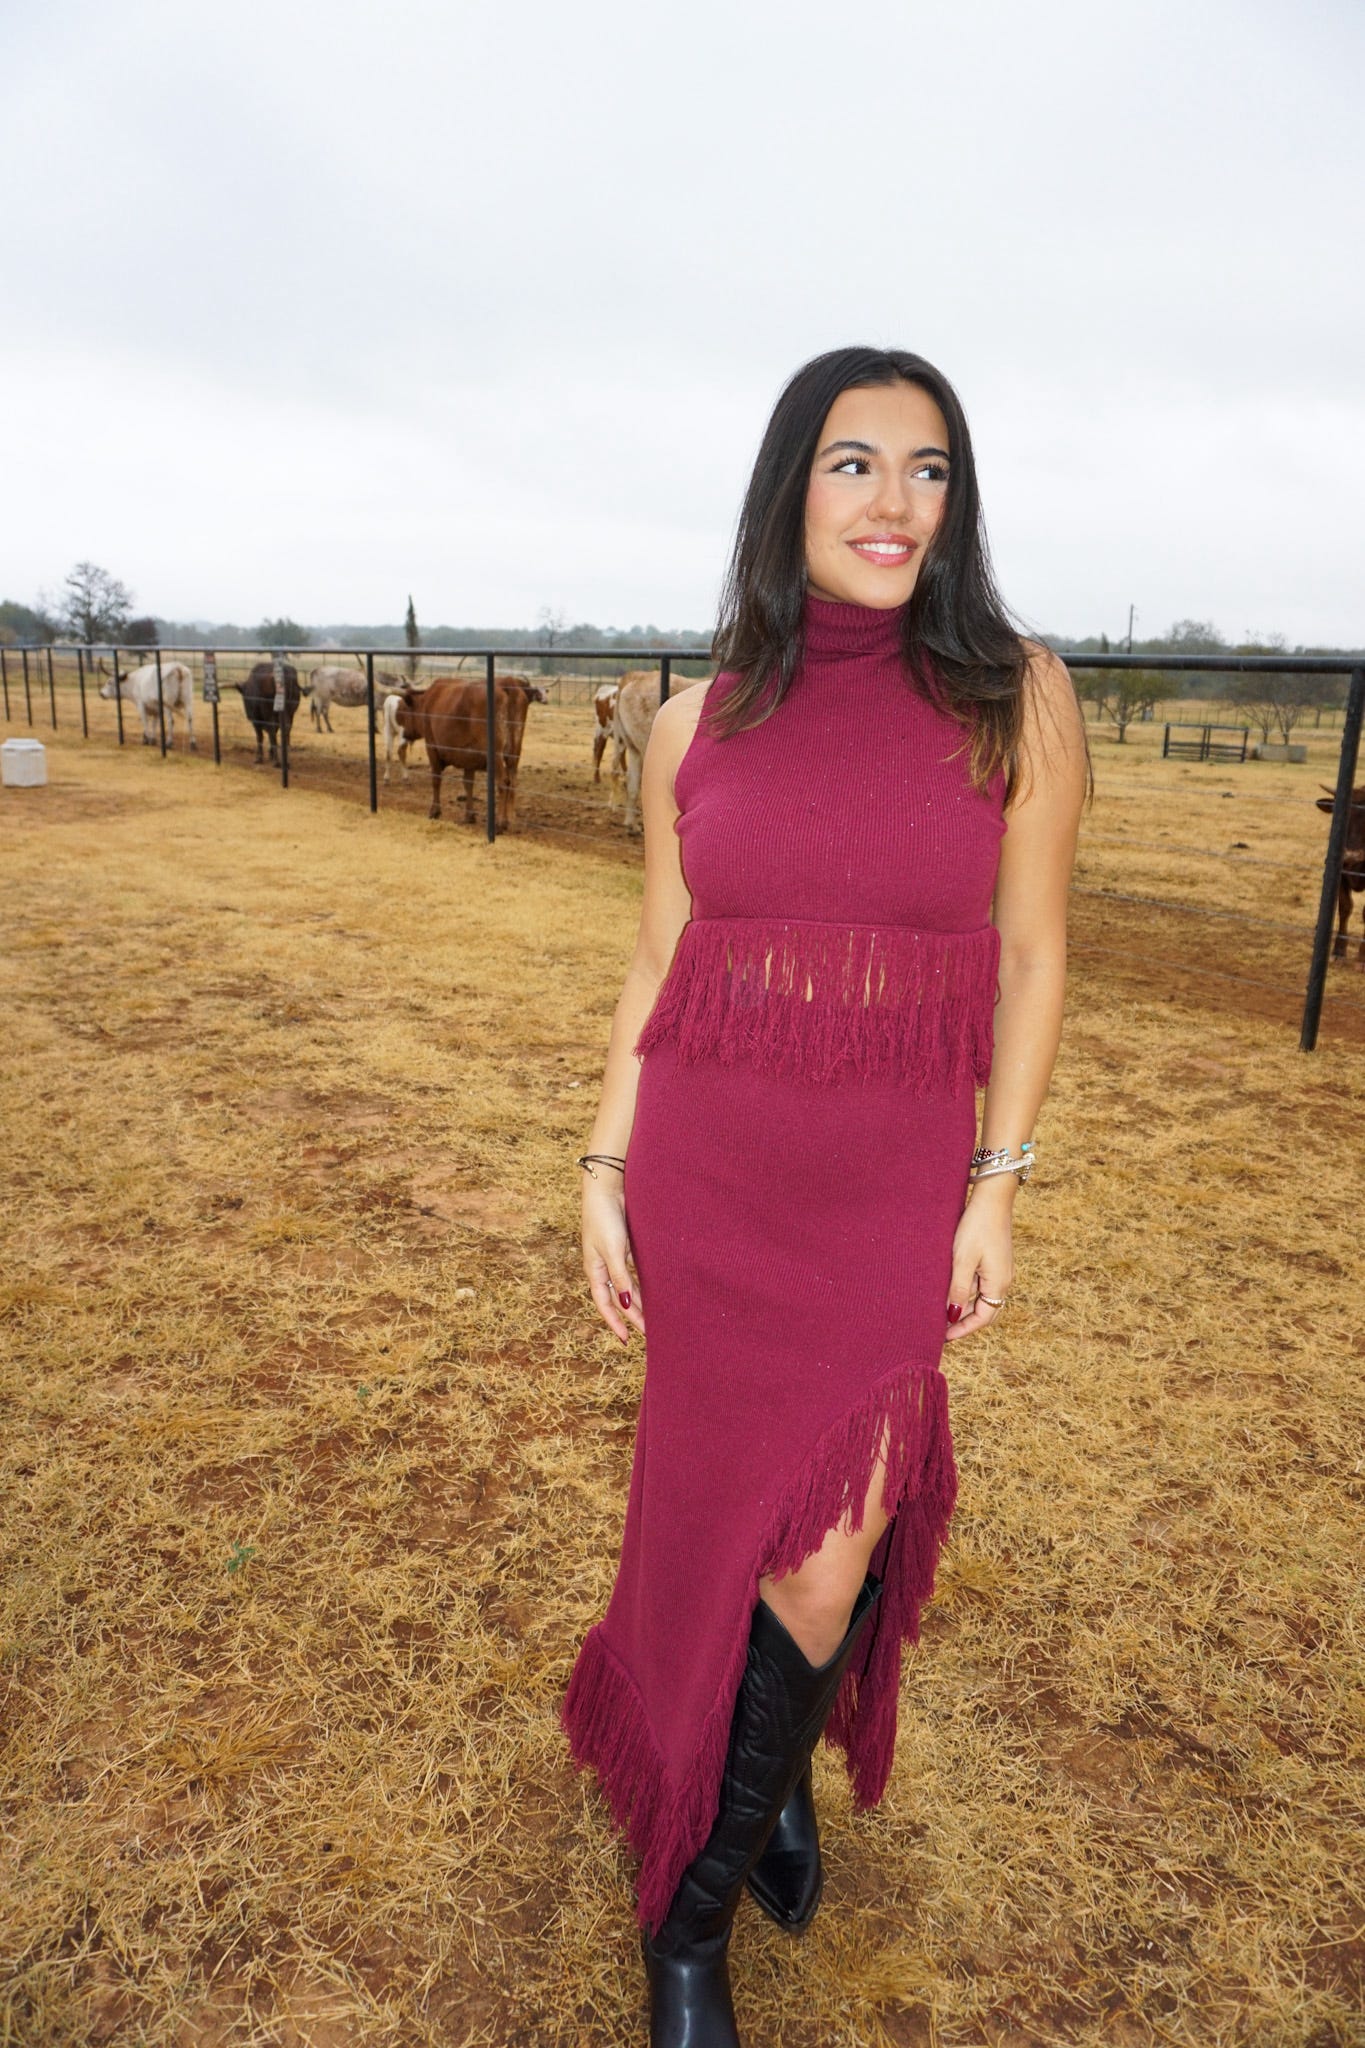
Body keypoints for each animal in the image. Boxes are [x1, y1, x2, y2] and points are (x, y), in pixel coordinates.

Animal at [388, 675, 544, 827]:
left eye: (405, 710)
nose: (405, 734)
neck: (429, 701)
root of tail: (507, 682)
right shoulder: (469, 758)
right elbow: (468, 783)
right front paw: (469, 815)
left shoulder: (432, 748)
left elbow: (436, 779)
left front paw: (435, 811)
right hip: (514, 753)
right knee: (512, 781)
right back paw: (510, 818)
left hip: (496, 755)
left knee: (503, 782)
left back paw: (500, 822)